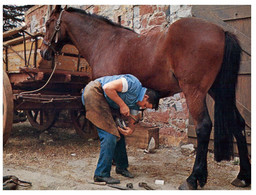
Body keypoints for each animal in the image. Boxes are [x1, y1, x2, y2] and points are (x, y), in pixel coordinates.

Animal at [41, 5, 251, 189]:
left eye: (49, 23)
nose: (44, 52)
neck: (104, 42)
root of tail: (221, 31)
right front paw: (119, 164)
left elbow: (112, 125)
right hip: (218, 90)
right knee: (238, 124)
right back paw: (242, 176)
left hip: (195, 92)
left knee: (204, 127)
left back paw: (192, 179)